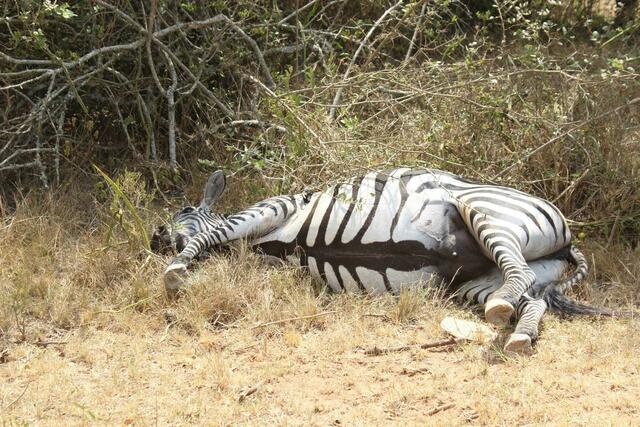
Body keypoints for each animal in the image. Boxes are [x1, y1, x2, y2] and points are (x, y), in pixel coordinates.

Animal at [152, 168, 618, 354]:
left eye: (183, 211)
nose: (155, 236)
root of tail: (567, 239)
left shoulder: (273, 208)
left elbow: (209, 235)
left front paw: (175, 273)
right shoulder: (270, 264)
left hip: (484, 209)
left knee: (515, 271)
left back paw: (509, 317)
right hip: (479, 284)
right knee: (531, 299)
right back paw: (520, 335)